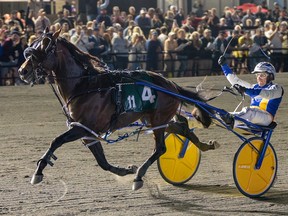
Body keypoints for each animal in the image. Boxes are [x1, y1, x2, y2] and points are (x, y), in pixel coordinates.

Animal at [17, 28, 212, 191]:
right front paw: (126, 170)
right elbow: (102, 162)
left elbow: (56, 141)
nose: (22, 71)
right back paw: (205, 145)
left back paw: (139, 176)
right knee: (182, 127)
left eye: (44, 47)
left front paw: (38, 172)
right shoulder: (88, 133)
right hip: (152, 120)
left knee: (161, 148)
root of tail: (170, 84)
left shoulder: (82, 128)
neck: (84, 85)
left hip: (159, 119)